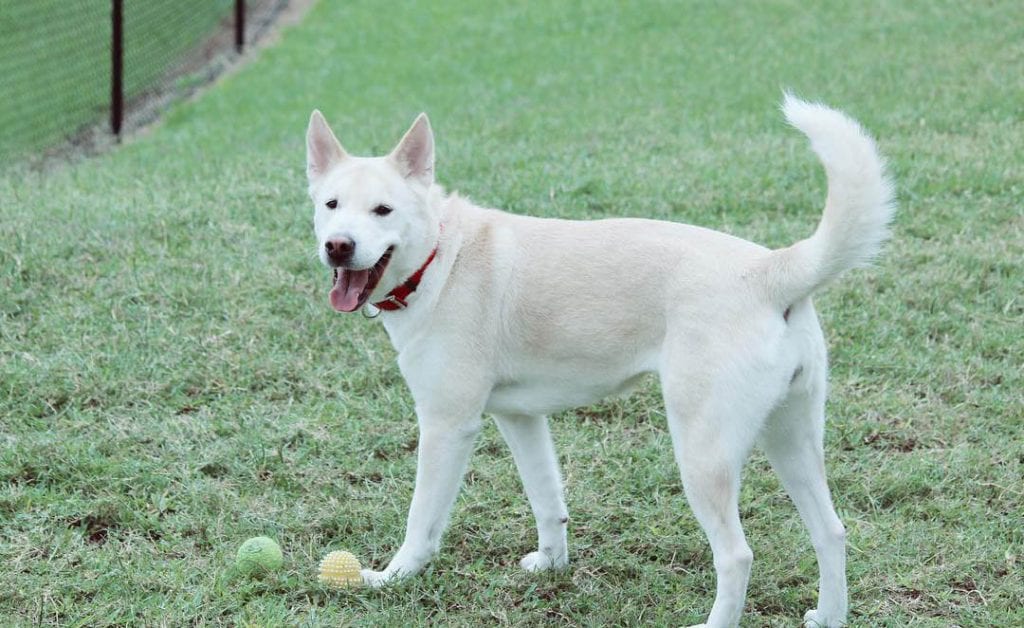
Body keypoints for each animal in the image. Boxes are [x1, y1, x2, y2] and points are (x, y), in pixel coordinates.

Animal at [305, 94, 897, 626]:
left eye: (383, 210)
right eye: (331, 205)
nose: (338, 246)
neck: (442, 255)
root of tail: (772, 271)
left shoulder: (447, 426)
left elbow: (422, 520)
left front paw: (393, 578)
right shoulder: (520, 418)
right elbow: (547, 499)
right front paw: (552, 565)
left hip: (703, 453)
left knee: (736, 556)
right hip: (790, 437)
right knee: (831, 532)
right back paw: (830, 615)